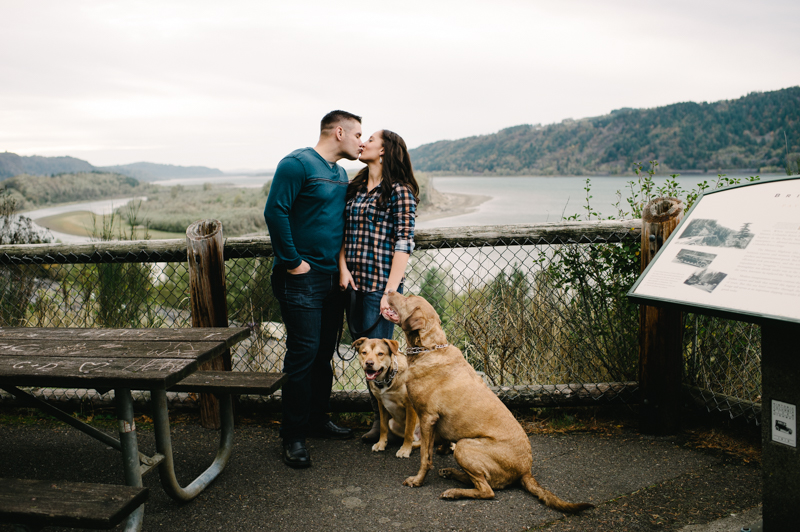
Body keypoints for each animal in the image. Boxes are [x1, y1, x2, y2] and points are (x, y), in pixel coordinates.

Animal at [382, 294, 592, 512]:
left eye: (407, 298)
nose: (388, 292)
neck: (429, 348)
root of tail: (526, 470)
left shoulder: (426, 417)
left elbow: (425, 456)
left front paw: (417, 480)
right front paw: (442, 450)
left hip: (465, 446)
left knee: (487, 490)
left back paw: (454, 491)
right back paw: (452, 473)